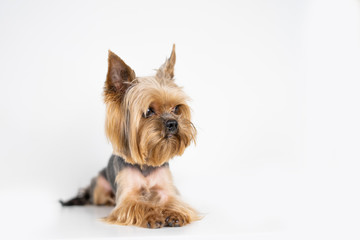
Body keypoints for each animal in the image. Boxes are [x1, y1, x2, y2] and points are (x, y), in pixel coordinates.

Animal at [59, 45, 200, 229]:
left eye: (176, 108)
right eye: (148, 111)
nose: (173, 123)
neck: (146, 164)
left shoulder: (167, 190)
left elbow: (173, 201)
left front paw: (175, 213)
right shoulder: (127, 196)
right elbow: (137, 204)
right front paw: (152, 215)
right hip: (99, 187)